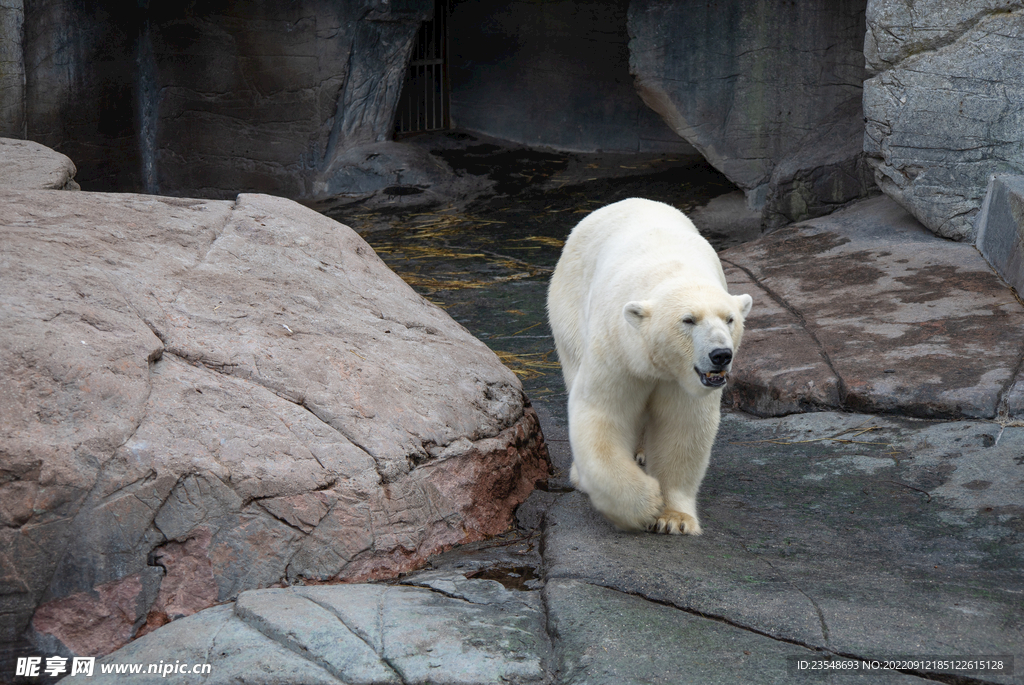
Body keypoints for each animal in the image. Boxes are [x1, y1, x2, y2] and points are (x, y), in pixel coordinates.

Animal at [544, 197, 753, 532]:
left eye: (730, 319)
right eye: (688, 320)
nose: (721, 354)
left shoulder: (682, 381)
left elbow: (682, 426)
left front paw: (674, 518)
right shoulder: (618, 350)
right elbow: (603, 414)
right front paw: (645, 504)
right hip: (568, 305)